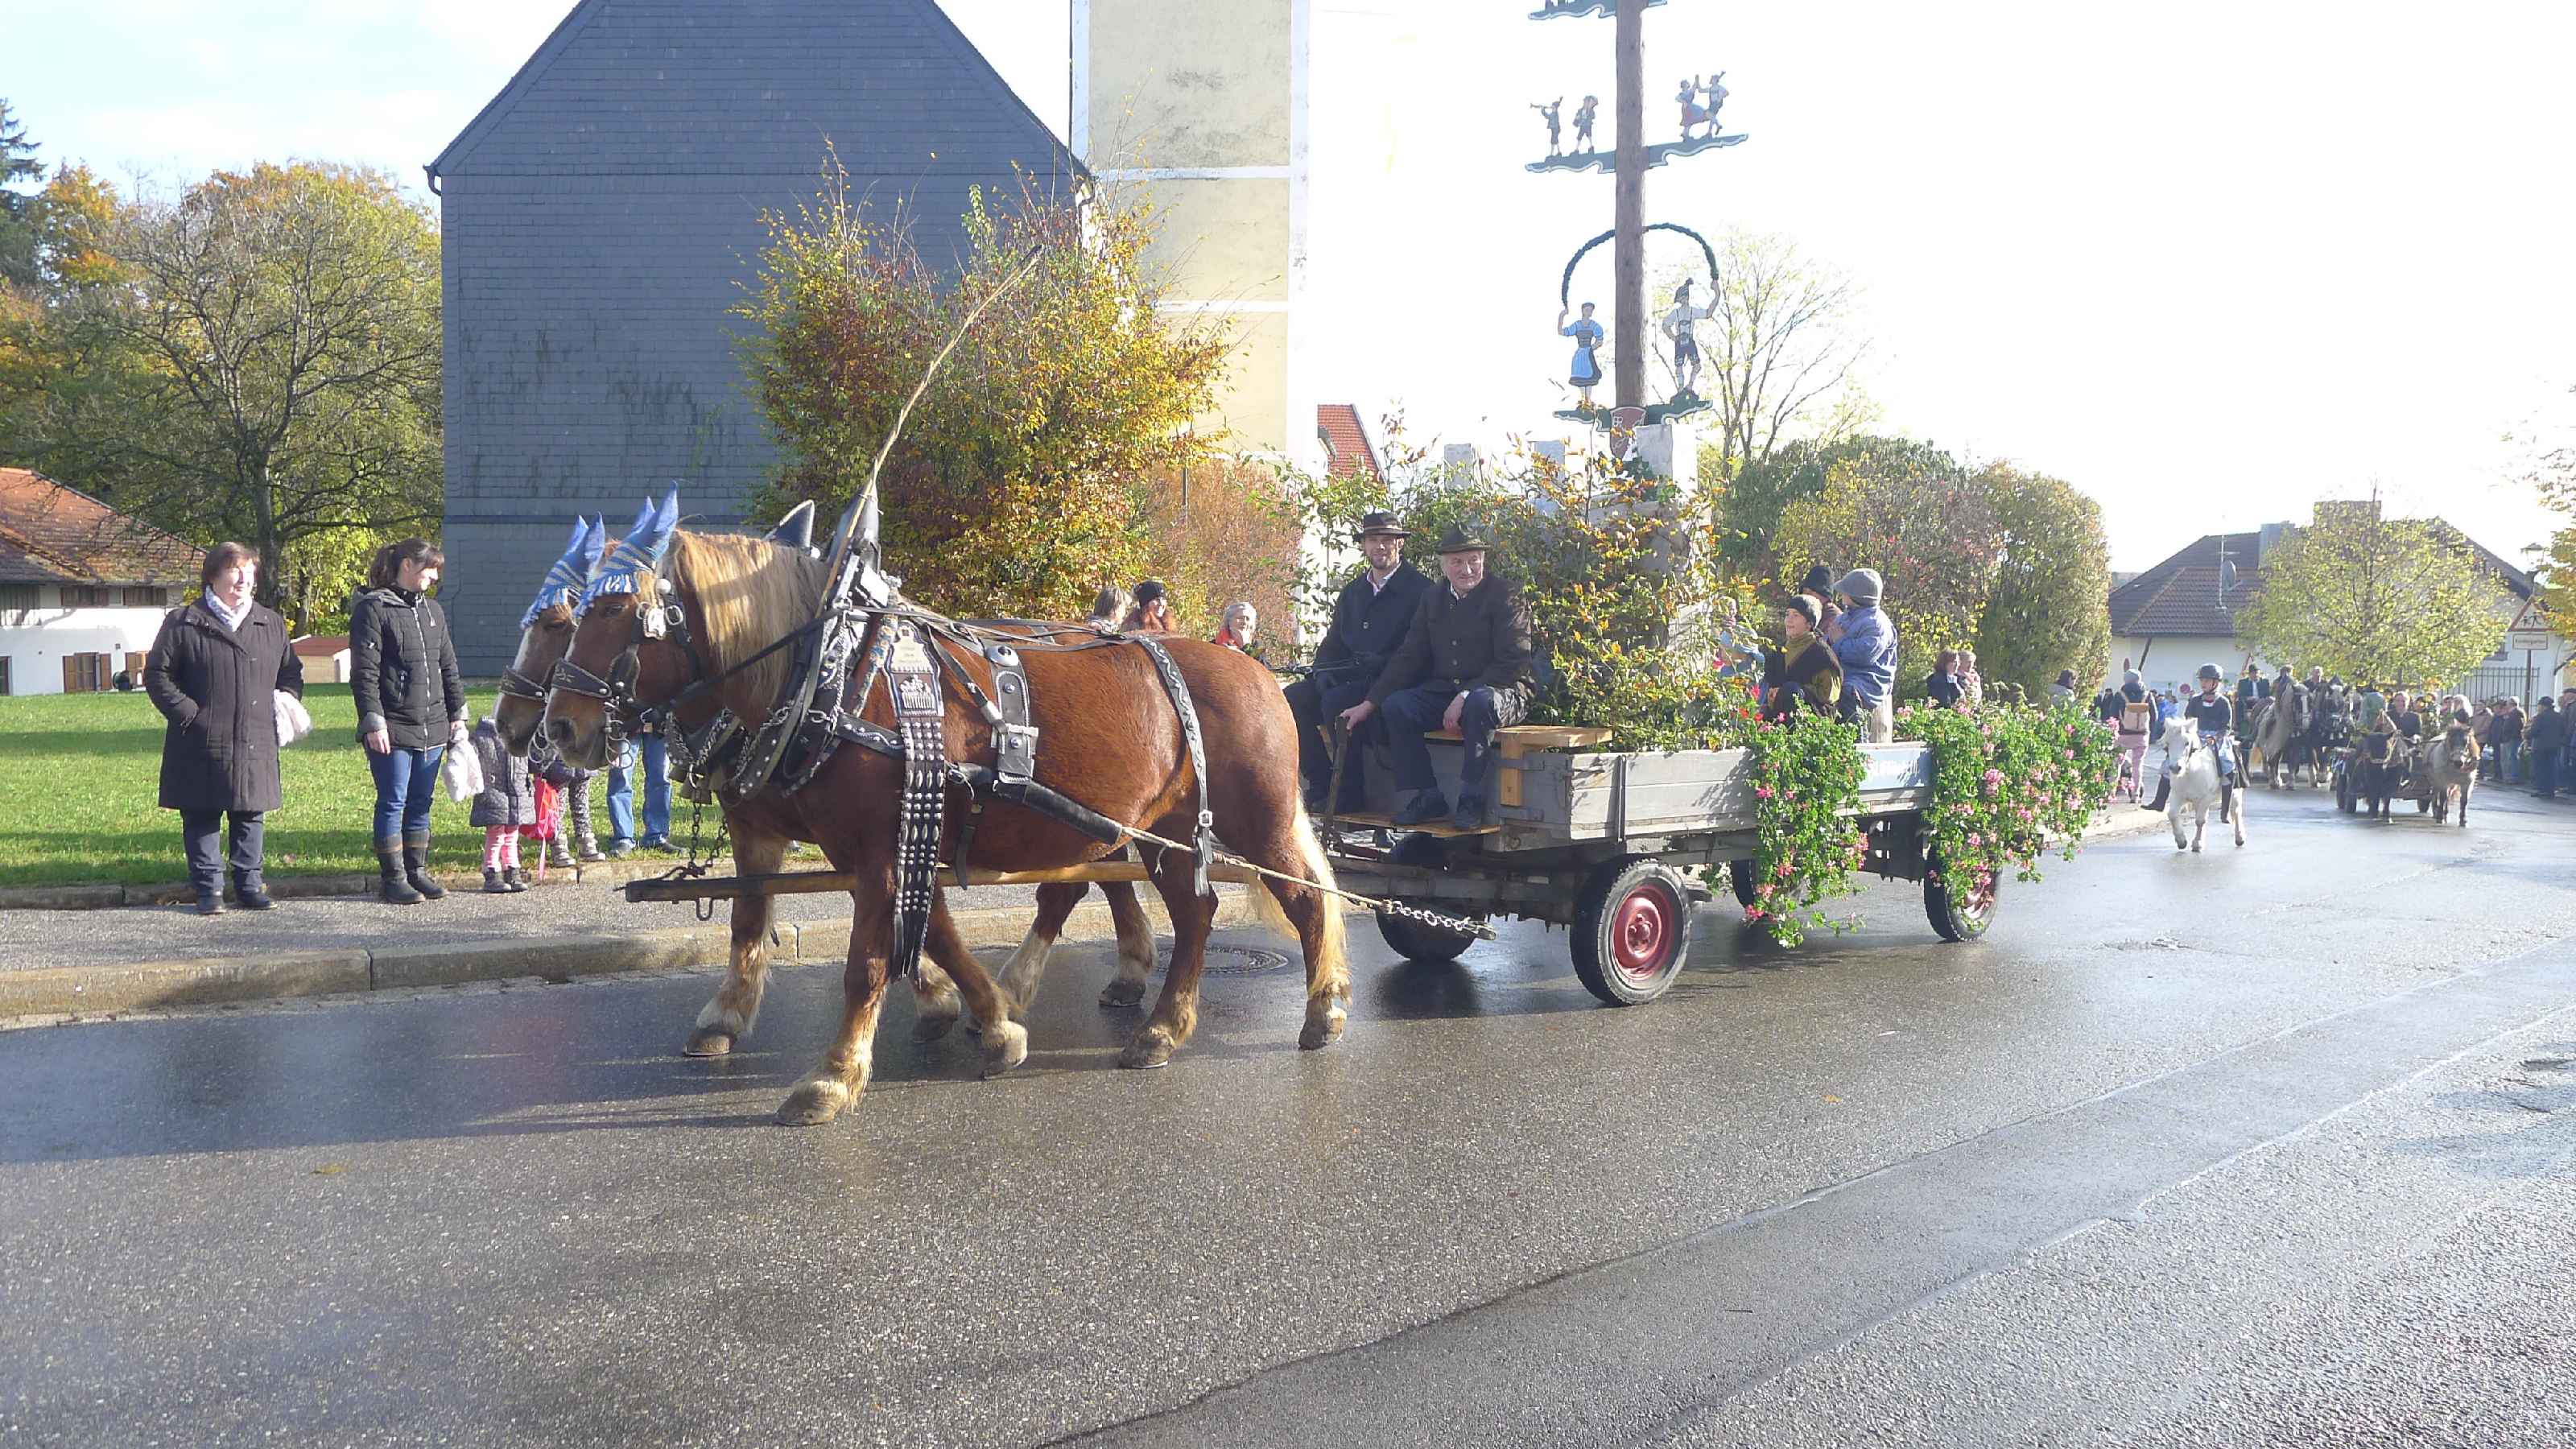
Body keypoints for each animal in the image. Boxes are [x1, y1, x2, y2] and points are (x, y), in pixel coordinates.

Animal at [542, 507, 1348, 1127]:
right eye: (575, 614)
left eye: (617, 612)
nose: (557, 729)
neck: (836, 675)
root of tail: (1256, 669)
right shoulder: (875, 841)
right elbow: (916, 932)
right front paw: (993, 1023)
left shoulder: (879, 848)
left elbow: (868, 962)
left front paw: (834, 1075)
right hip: (1167, 833)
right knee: (1193, 911)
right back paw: (1161, 1028)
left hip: (1254, 822)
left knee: (1305, 901)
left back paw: (1322, 1009)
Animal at [2159, 717, 2244, 852]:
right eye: (2168, 744)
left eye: (2187, 743)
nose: (2175, 768)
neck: (2191, 773)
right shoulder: (2177, 796)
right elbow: (2172, 815)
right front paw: (2181, 841)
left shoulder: (2206, 798)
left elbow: (2200, 821)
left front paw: (2197, 843)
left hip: (2235, 792)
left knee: (2236, 811)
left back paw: (2240, 838)